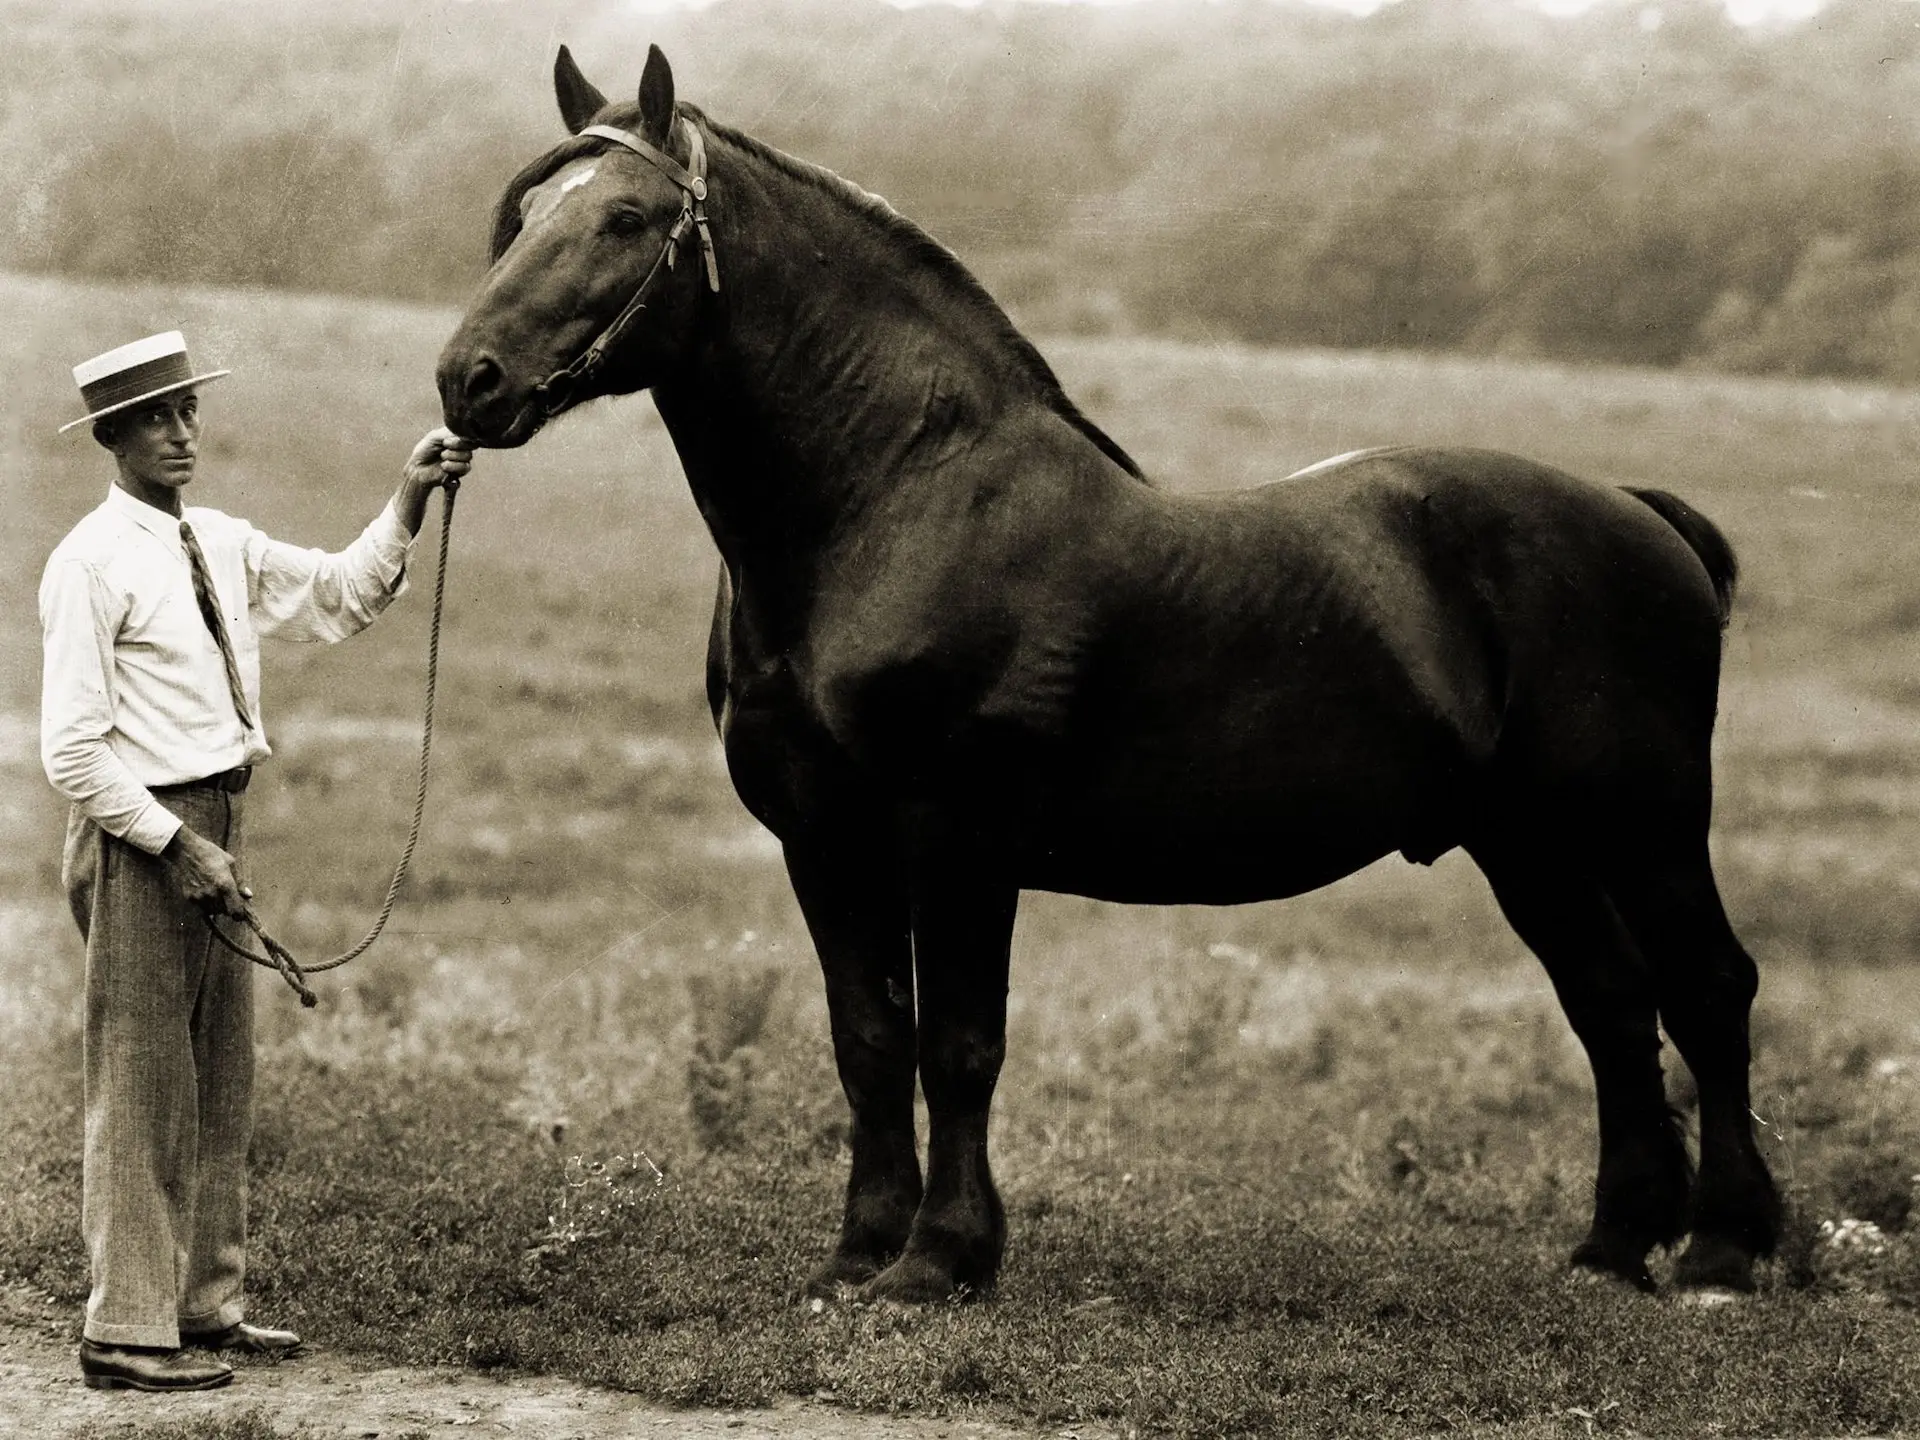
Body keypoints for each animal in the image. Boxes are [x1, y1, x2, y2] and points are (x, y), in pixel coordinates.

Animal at [439, 42, 1781, 1305]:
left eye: (624, 218)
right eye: (526, 210)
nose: (470, 379)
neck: (893, 506)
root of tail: (1643, 516)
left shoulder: (957, 835)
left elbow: (958, 1045)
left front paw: (941, 1262)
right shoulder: (824, 839)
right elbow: (867, 1039)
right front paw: (858, 1254)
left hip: (1646, 826)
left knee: (1707, 991)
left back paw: (1724, 1247)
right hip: (1530, 843)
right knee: (1613, 1007)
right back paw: (1615, 1248)